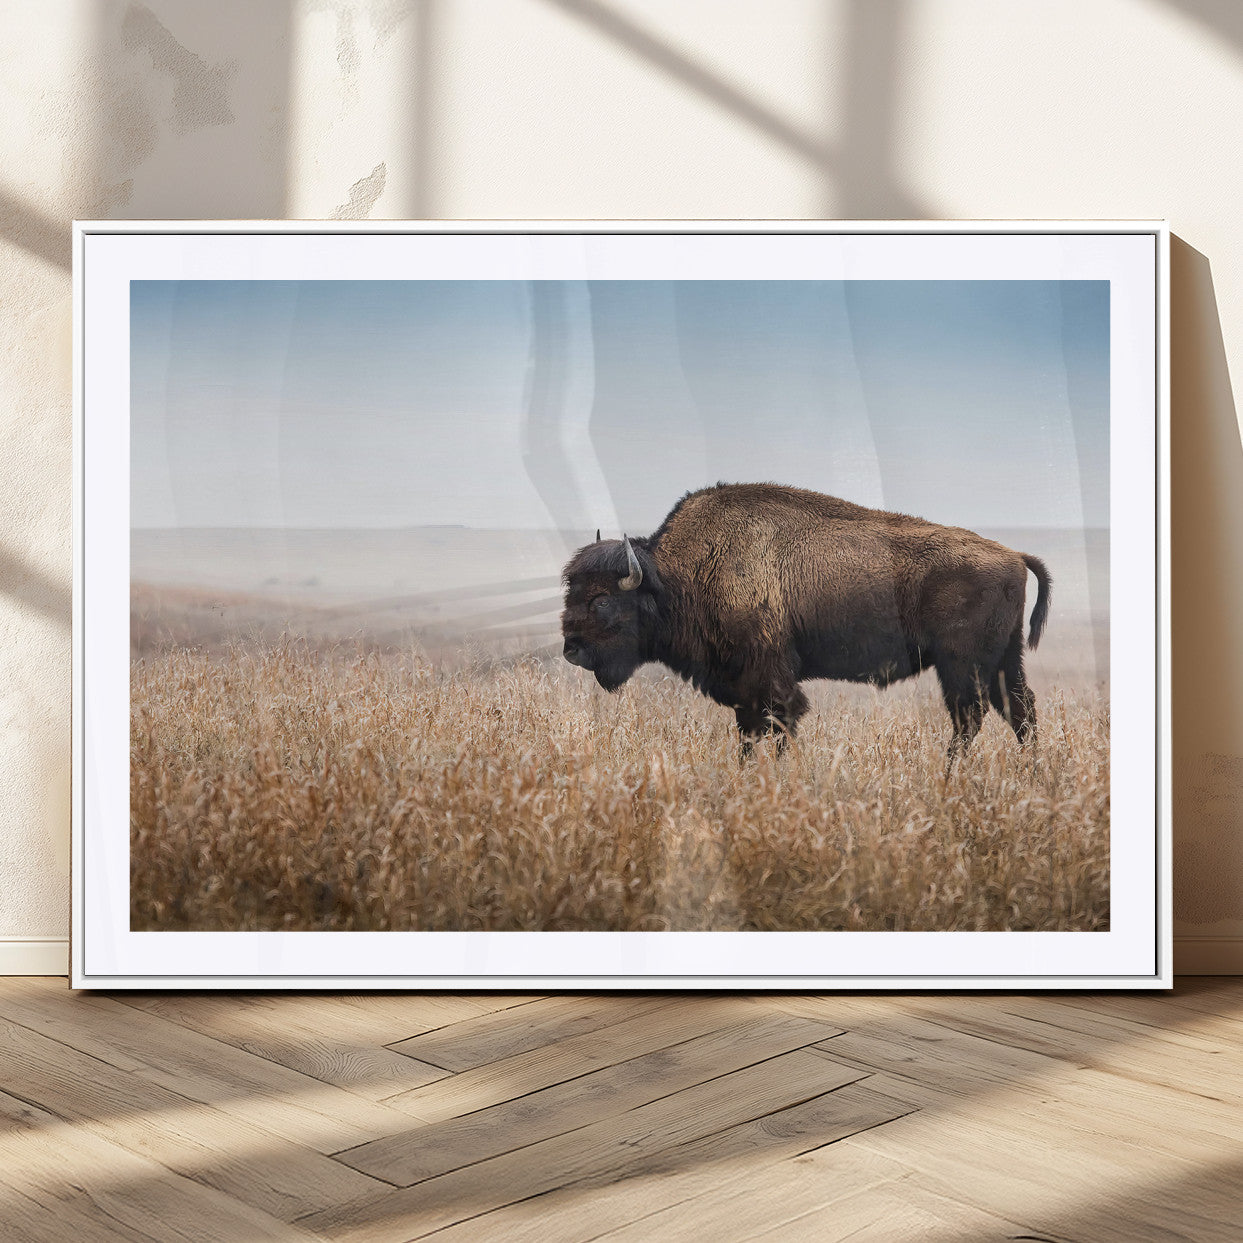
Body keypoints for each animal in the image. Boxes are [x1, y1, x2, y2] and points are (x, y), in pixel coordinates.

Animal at [560, 483, 1051, 760]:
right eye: (571, 590)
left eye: (602, 600)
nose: (571, 649)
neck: (677, 575)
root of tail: (1013, 555)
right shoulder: (744, 690)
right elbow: (749, 736)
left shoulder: (770, 681)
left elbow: (778, 726)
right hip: (1003, 661)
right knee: (1020, 712)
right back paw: (1032, 776)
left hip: (962, 666)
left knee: (970, 718)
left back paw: (950, 777)